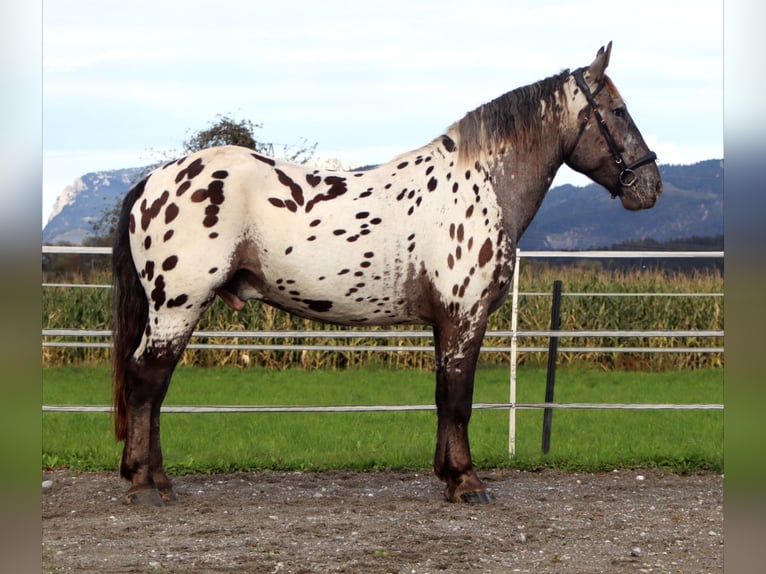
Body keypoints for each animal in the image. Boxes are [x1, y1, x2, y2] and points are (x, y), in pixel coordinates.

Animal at [111, 42, 664, 506]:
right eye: (618, 111)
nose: (651, 185)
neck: (479, 186)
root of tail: (153, 182)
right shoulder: (465, 318)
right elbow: (458, 398)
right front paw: (467, 483)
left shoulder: (447, 322)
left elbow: (444, 396)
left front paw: (448, 474)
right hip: (177, 307)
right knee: (146, 380)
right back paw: (143, 485)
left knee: (155, 386)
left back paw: (159, 480)